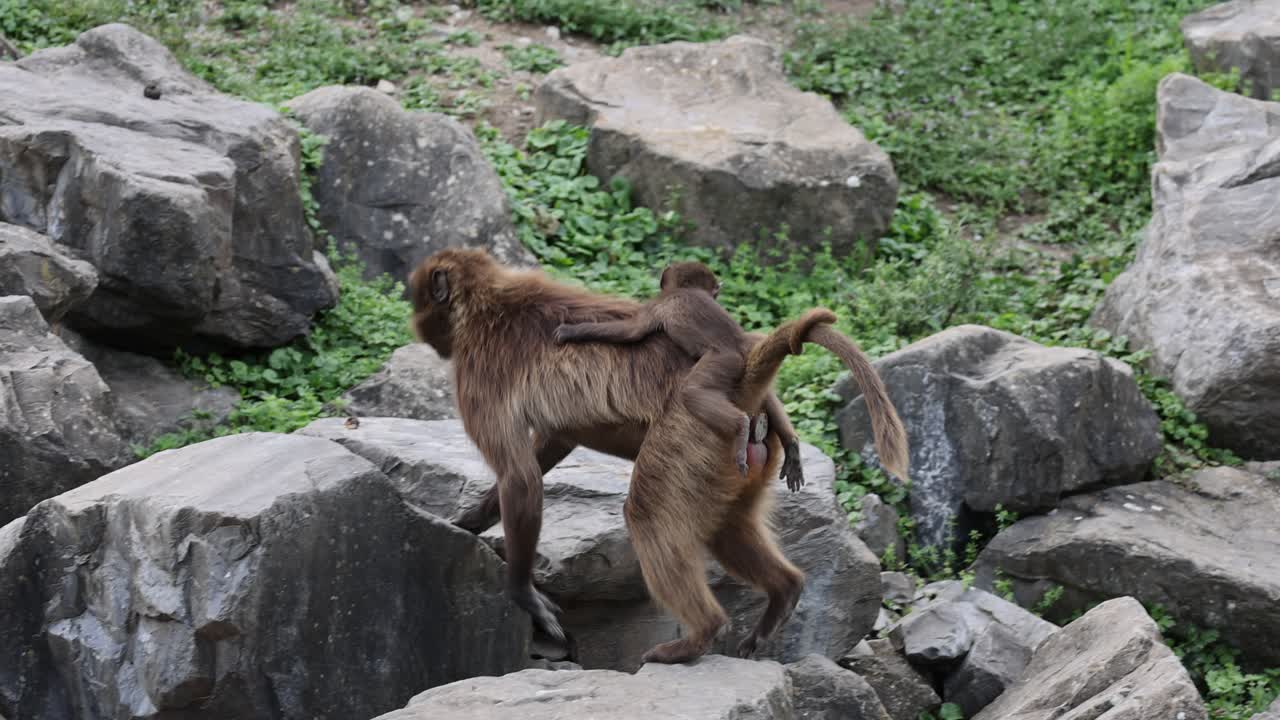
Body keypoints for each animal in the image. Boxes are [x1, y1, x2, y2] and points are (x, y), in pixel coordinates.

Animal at [553, 260, 802, 488]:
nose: (717, 298)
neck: (684, 290)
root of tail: (740, 344)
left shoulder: (657, 303)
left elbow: (631, 332)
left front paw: (572, 331)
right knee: (765, 393)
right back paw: (791, 445)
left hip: (724, 359)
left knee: (691, 392)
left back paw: (740, 427)